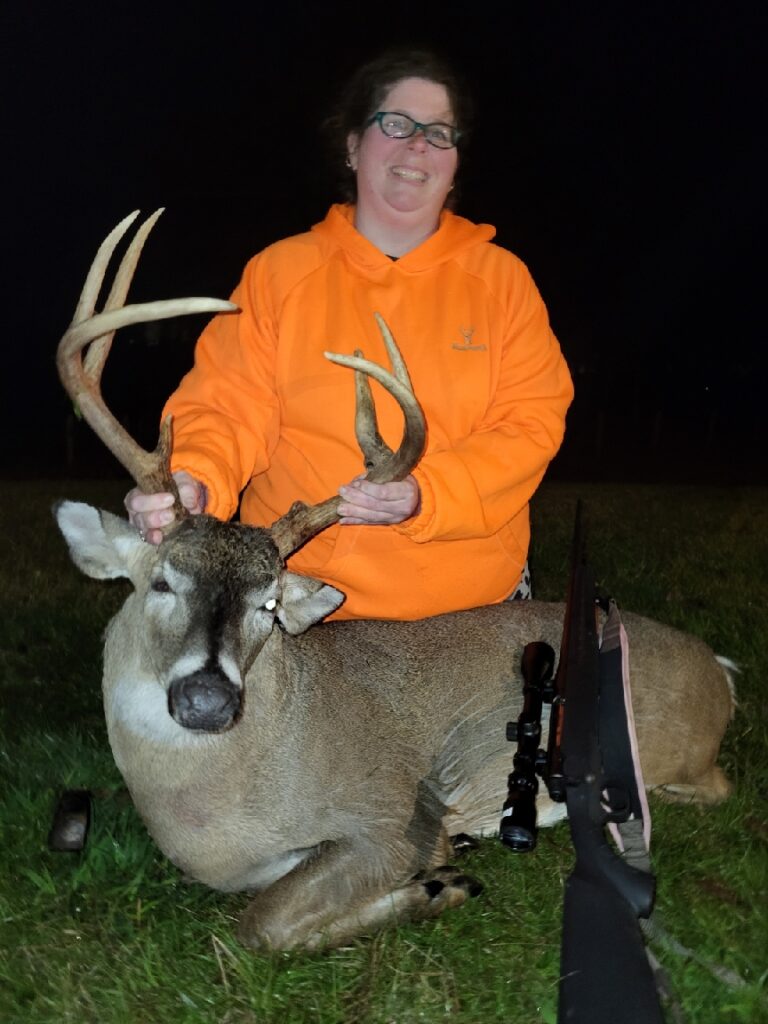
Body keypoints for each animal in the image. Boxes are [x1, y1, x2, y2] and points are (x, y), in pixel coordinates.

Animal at [54, 212, 735, 951]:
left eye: (269, 603)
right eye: (162, 584)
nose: (208, 698)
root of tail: (723, 674)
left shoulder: (388, 813)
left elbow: (263, 923)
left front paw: (440, 884)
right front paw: (440, 882)